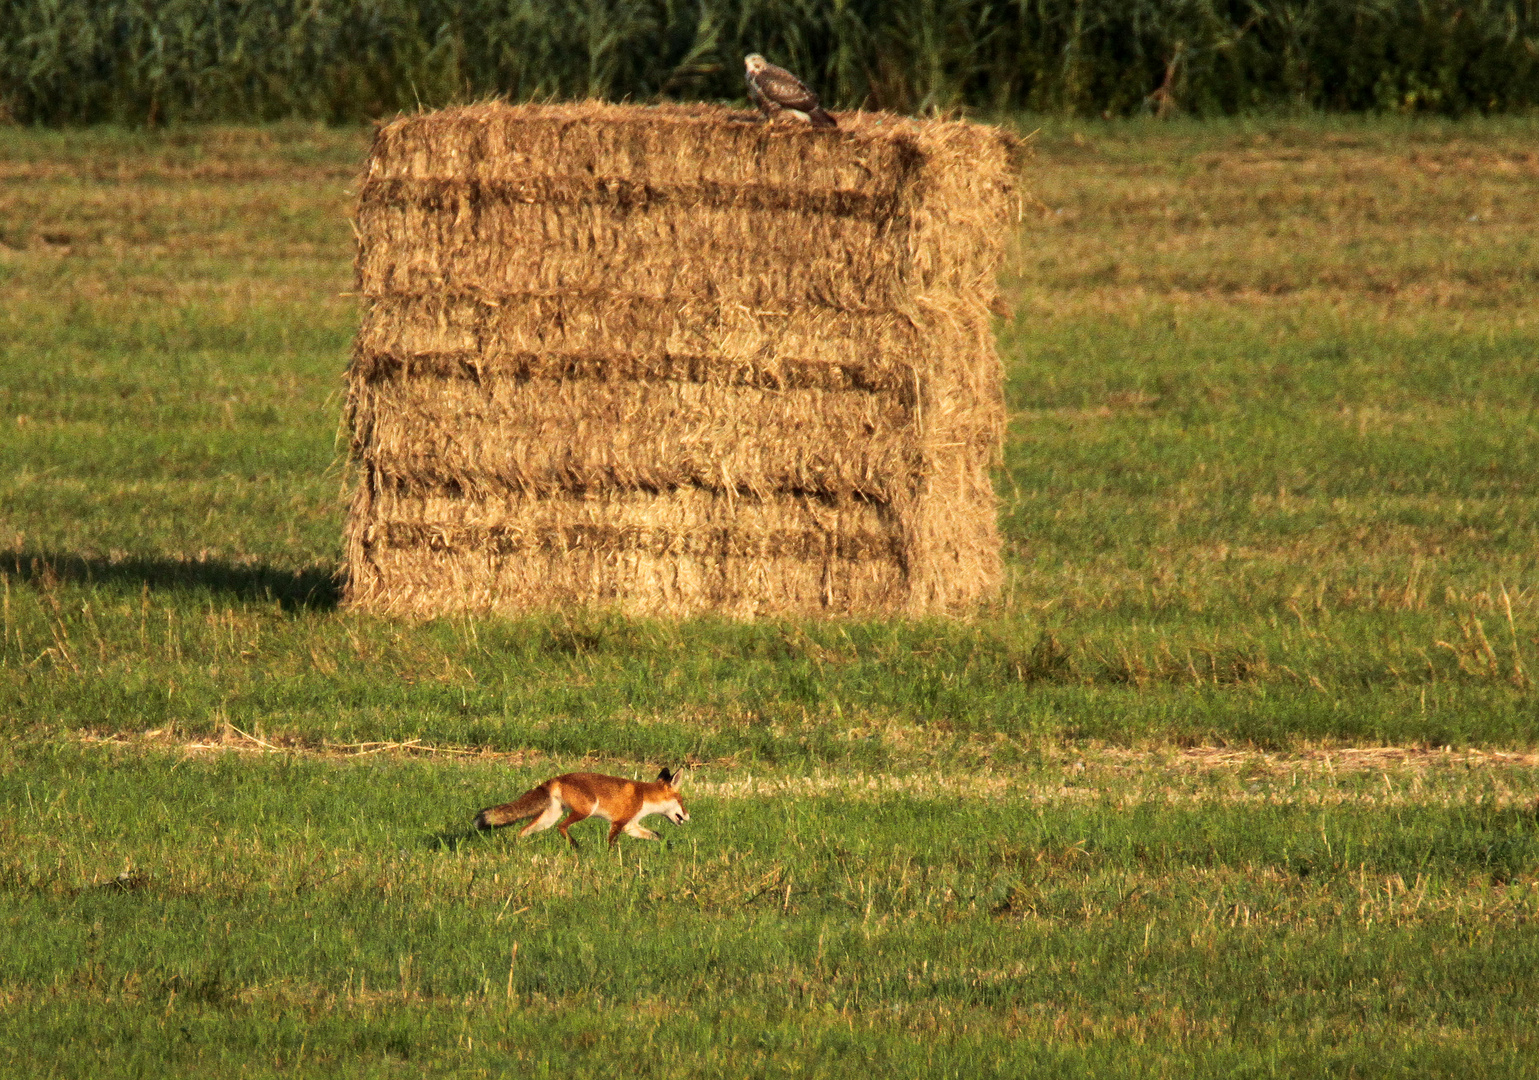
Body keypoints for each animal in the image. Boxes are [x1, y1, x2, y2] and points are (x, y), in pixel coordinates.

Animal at [467, 766, 686, 849]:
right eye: (682, 800)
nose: (688, 816)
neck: (644, 796)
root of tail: (557, 778)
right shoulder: (618, 823)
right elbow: (611, 843)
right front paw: (611, 858)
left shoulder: (630, 825)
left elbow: (657, 836)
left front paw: (668, 846)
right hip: (585, 810)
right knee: (562, 827)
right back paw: (574, 845)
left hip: (549, 817)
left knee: (523, 830)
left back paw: (516, 849)